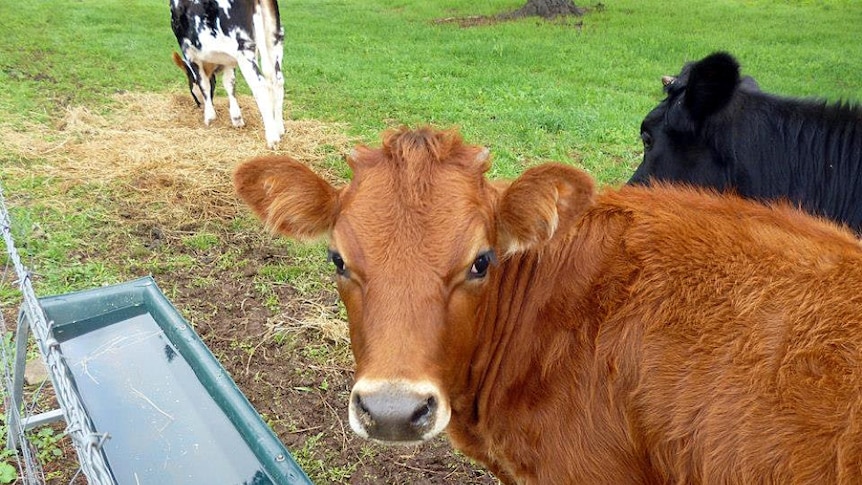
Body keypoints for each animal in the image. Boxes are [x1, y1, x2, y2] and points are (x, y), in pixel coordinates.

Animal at [170, 0, 286, 147]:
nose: (199, 105)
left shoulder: (191, 54)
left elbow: (203, 84)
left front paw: (209, 117)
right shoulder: (228, 59)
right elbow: (229, 83)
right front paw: (236, 118)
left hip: (244, 48)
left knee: (261, 85)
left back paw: (272, 138)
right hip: (275, 39)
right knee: (278, 80)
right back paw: (279, 129)